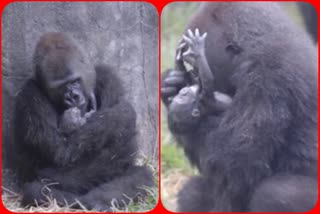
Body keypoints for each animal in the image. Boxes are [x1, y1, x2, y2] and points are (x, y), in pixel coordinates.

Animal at [14, 32, 155, 211]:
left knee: (142, 175)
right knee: (35, 189)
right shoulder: (29, 94)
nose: (72, 97)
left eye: (74, 81)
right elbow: (61, 153)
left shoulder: (107, 75)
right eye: (59, 87)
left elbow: (120, 140)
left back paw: (97, 201)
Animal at [162, 2, 318, 212]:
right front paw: (171, 84)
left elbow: (235, 164)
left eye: (196, 70)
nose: (194, 79)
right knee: (194, 192)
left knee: (274, 194)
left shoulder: (266, 79)